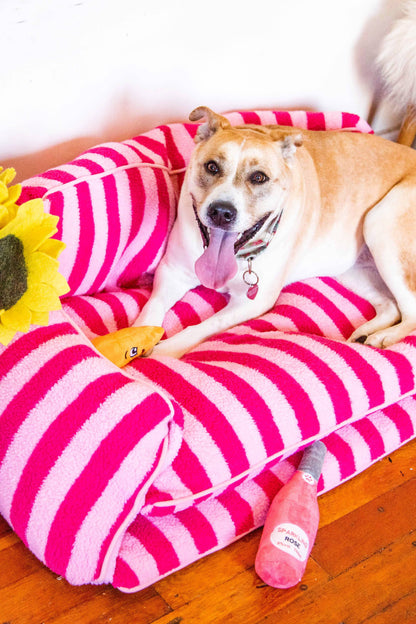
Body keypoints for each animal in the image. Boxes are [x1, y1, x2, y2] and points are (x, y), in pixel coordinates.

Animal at [133, 106, 416, 356]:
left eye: (259, 177)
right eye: (212, 166)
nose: (222, 212)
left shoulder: (253, 302)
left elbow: (204, 326)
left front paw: (164, 351)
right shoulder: (172, 272)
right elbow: (149, 314)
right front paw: (134, 343)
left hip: (380, 224)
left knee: (410, 312)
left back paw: (383, 337)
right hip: (353, 268)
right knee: (392, 306)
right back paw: (365, 334)